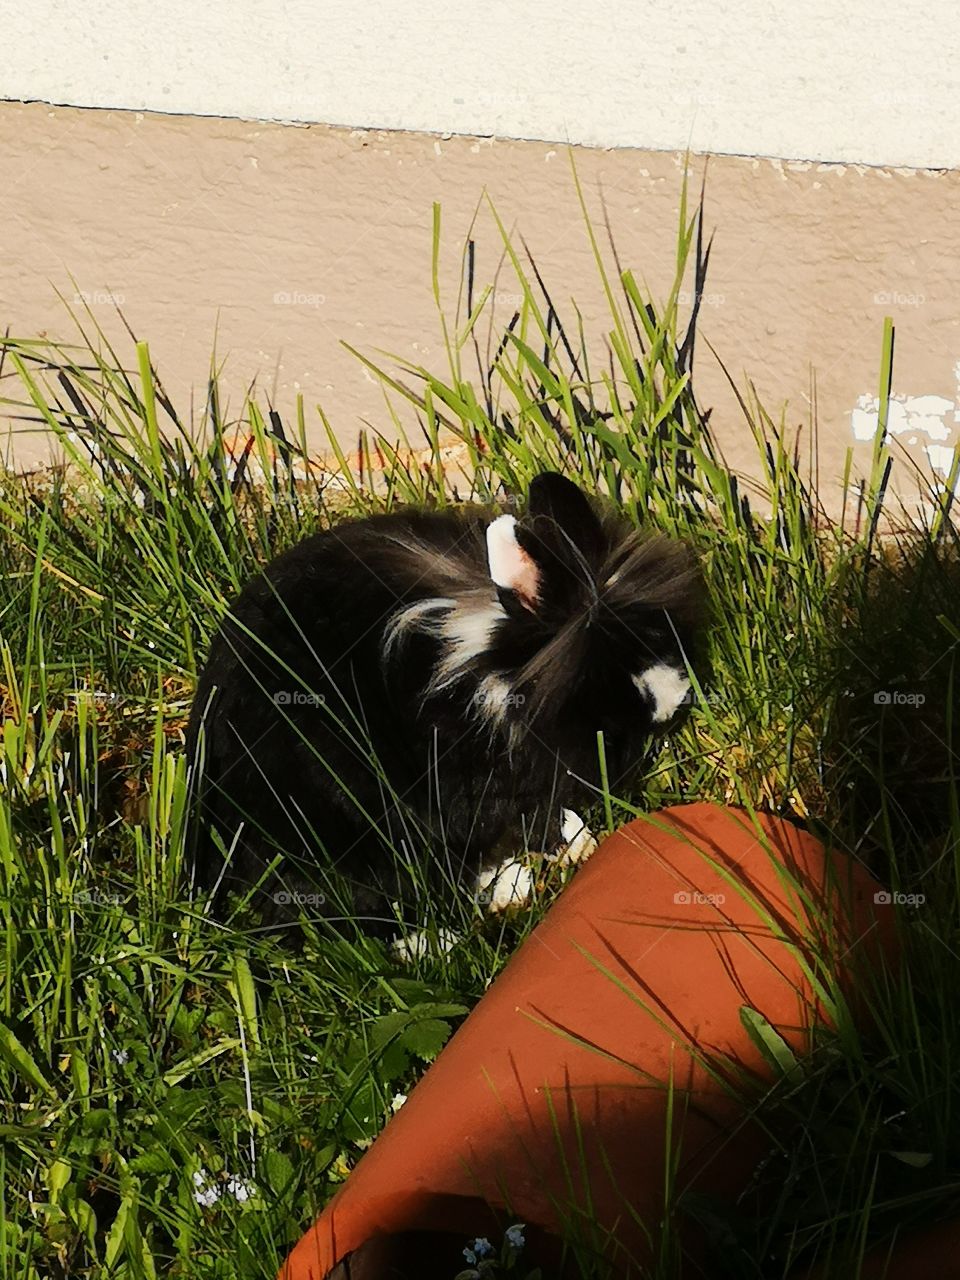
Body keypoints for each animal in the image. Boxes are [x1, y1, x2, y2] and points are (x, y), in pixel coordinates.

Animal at [184, 471, 705, 940]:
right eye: (598, 677)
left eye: (658, 635)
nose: (671, 702)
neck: (485, 673)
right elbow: (537, 819)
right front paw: (572, 848)